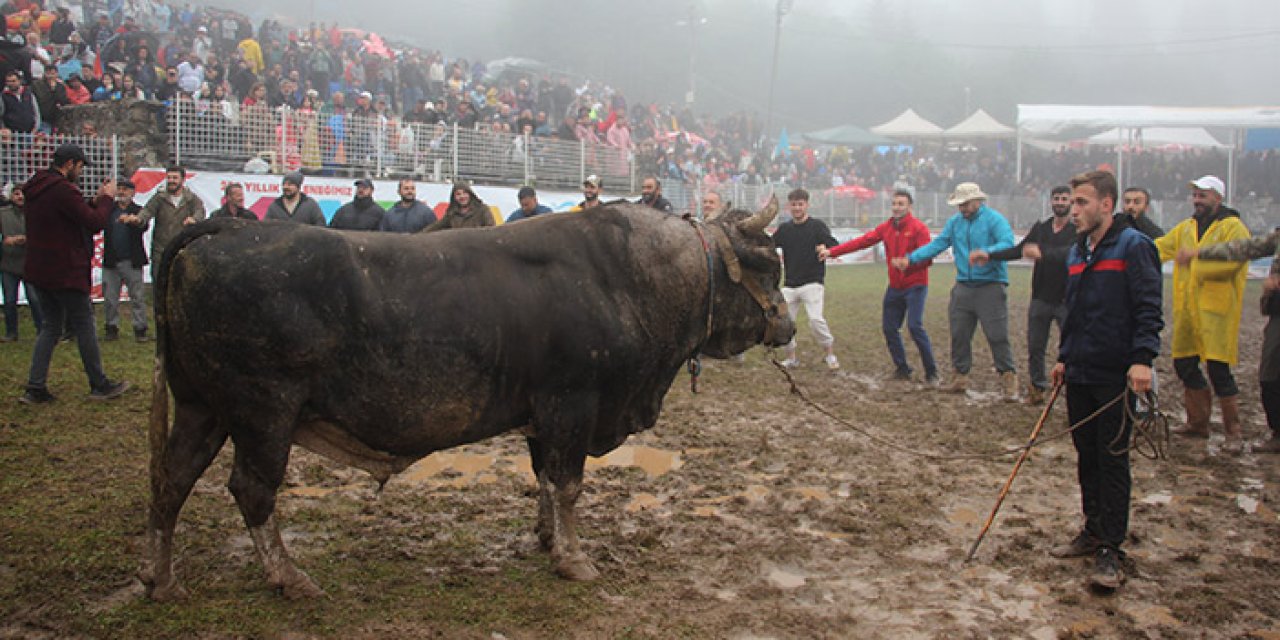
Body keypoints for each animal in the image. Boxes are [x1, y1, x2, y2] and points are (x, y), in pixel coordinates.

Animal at [145, 198, 793, 599]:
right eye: (767, 264)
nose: (787, 327)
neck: (629, 276)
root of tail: (228, 227)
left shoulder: (541, 416)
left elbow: (544, 480)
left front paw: (546, 540)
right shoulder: (572, 404)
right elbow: (567, 484)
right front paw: (573, 559)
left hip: (204, 407)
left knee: (171, 481)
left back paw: (162, 580)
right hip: (264, 410)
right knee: (251, 490)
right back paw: (288, 577)